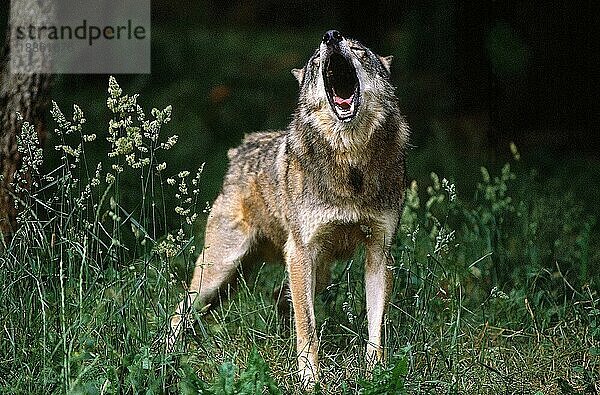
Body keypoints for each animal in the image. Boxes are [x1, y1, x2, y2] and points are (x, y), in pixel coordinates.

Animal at [171, 29, 410, 388]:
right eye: (315, 58)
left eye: (358, 49)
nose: (331, 35)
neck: (351, 163)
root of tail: (241, 148)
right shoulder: (299, 252)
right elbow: (308, 328)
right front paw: (310, 380)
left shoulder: (379, 252)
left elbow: (375, 326)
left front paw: (375, 375)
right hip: (220, 270)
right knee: (180, 309)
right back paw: (166, 355)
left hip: (312, 272)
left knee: (282, 301)